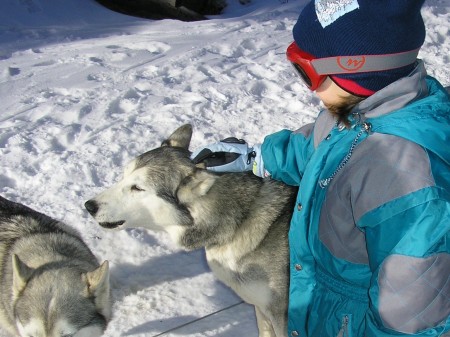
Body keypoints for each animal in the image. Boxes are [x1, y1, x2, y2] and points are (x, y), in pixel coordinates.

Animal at [85, 124, 296, 336]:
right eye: (123, 176)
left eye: (137, 188)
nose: (89, 205)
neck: (240, 220)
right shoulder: (262, 310)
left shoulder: (282, 316)